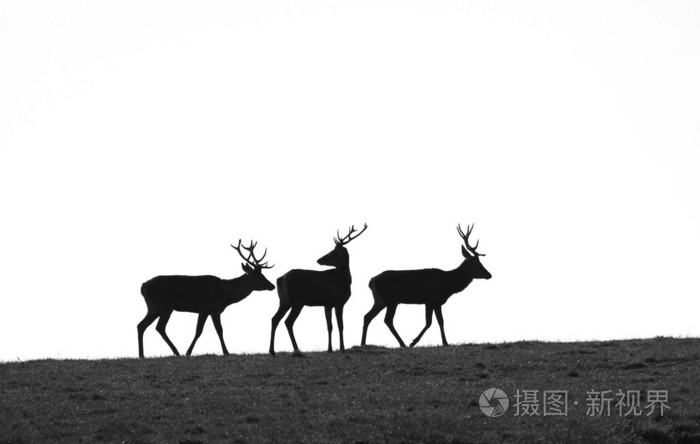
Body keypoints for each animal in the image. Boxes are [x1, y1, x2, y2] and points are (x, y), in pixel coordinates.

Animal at [137, 240, 275, 358]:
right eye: (258, 277)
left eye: (263, 275)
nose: (272, 286)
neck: (224, 294)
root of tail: (143, 286)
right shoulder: (204, 308)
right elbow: (198, 331)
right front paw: (188, 352)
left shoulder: (215, 311)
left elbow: (220, 330)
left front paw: (226, 352)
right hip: (165, 306)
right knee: (159, 327)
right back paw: (176, 352)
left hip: (154, 307)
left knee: (142, 325)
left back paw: (142, 354)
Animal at [269, 223, 368, 356]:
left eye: (331, 253)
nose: (318, 260)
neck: (345, 280)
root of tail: (280, 279)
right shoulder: (339, 302)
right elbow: (340, 325)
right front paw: (342, 348)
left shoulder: (328, 304)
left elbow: (329, 326)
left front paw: (330, 349)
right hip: (297, 301)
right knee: (288, 322)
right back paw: (296, 349)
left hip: (284, 301)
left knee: (275, 319)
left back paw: (272, 351)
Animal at [361, 224, 491, 348]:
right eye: (476, 263)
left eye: (480, 262)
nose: (489, 274)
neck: (448, 284)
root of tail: (371, 281)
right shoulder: (430, 300)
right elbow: (429, 322)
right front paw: (413, 342)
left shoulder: (437, 302)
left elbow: (441, 321)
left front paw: (445, 343)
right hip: (392, 299)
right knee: (387, 320)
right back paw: (403, 344)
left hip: (381, 300)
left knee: (368, 316)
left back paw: (363, 343)